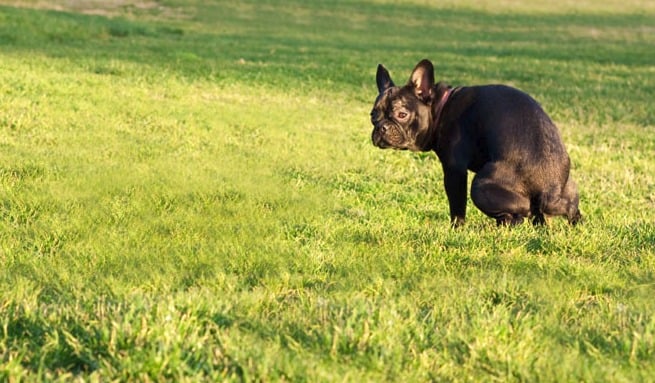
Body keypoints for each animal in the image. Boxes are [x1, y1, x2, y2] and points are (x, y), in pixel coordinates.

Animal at [372, 59, 580, 226]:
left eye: (402, 114)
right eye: (373, 115)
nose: (382, 127)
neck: (440, 108)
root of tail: (550, 190)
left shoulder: (454, 170)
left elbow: (457, 205)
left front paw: (456, 228)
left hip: (480, 187)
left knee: (521, 214)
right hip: (570, 187)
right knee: (568, 208)